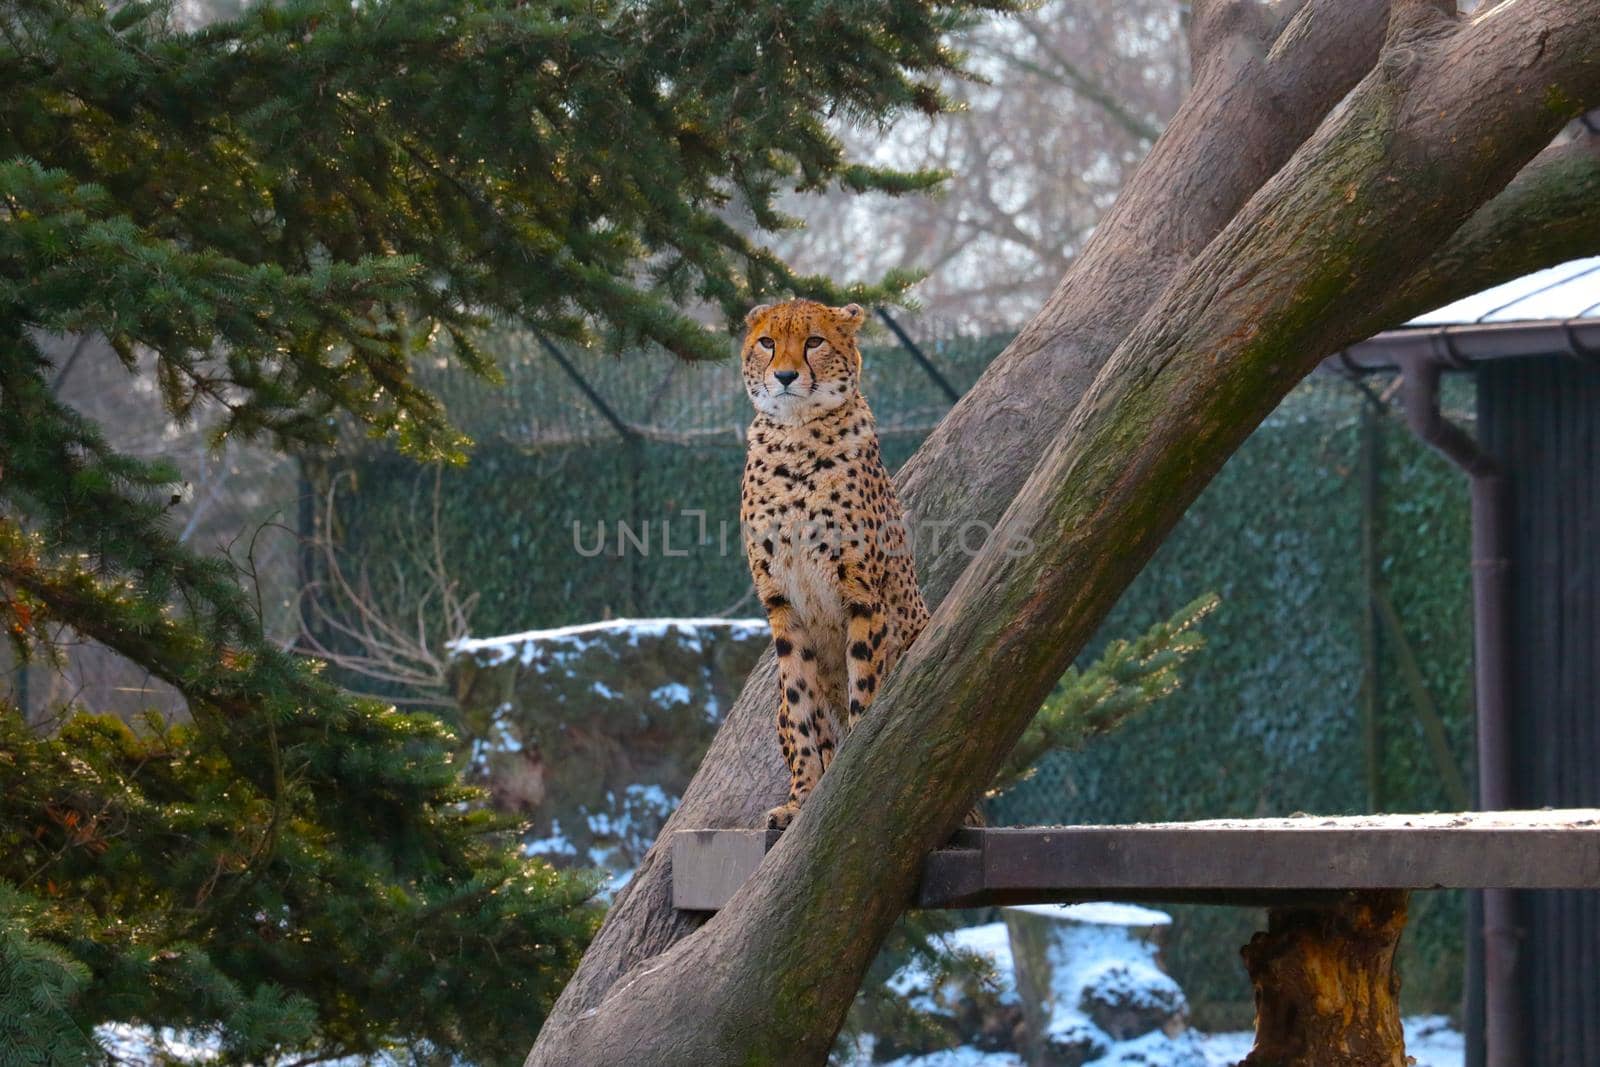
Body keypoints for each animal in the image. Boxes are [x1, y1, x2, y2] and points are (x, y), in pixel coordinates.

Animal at [742, 295, 934, 831]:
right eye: (767, 342)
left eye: (814, 342)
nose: (785, 375)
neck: (796, 438)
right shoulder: (781, 605)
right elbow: (803, 704)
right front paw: (803, 798)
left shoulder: (862, 594)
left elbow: (863, 686)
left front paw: (853, 771)